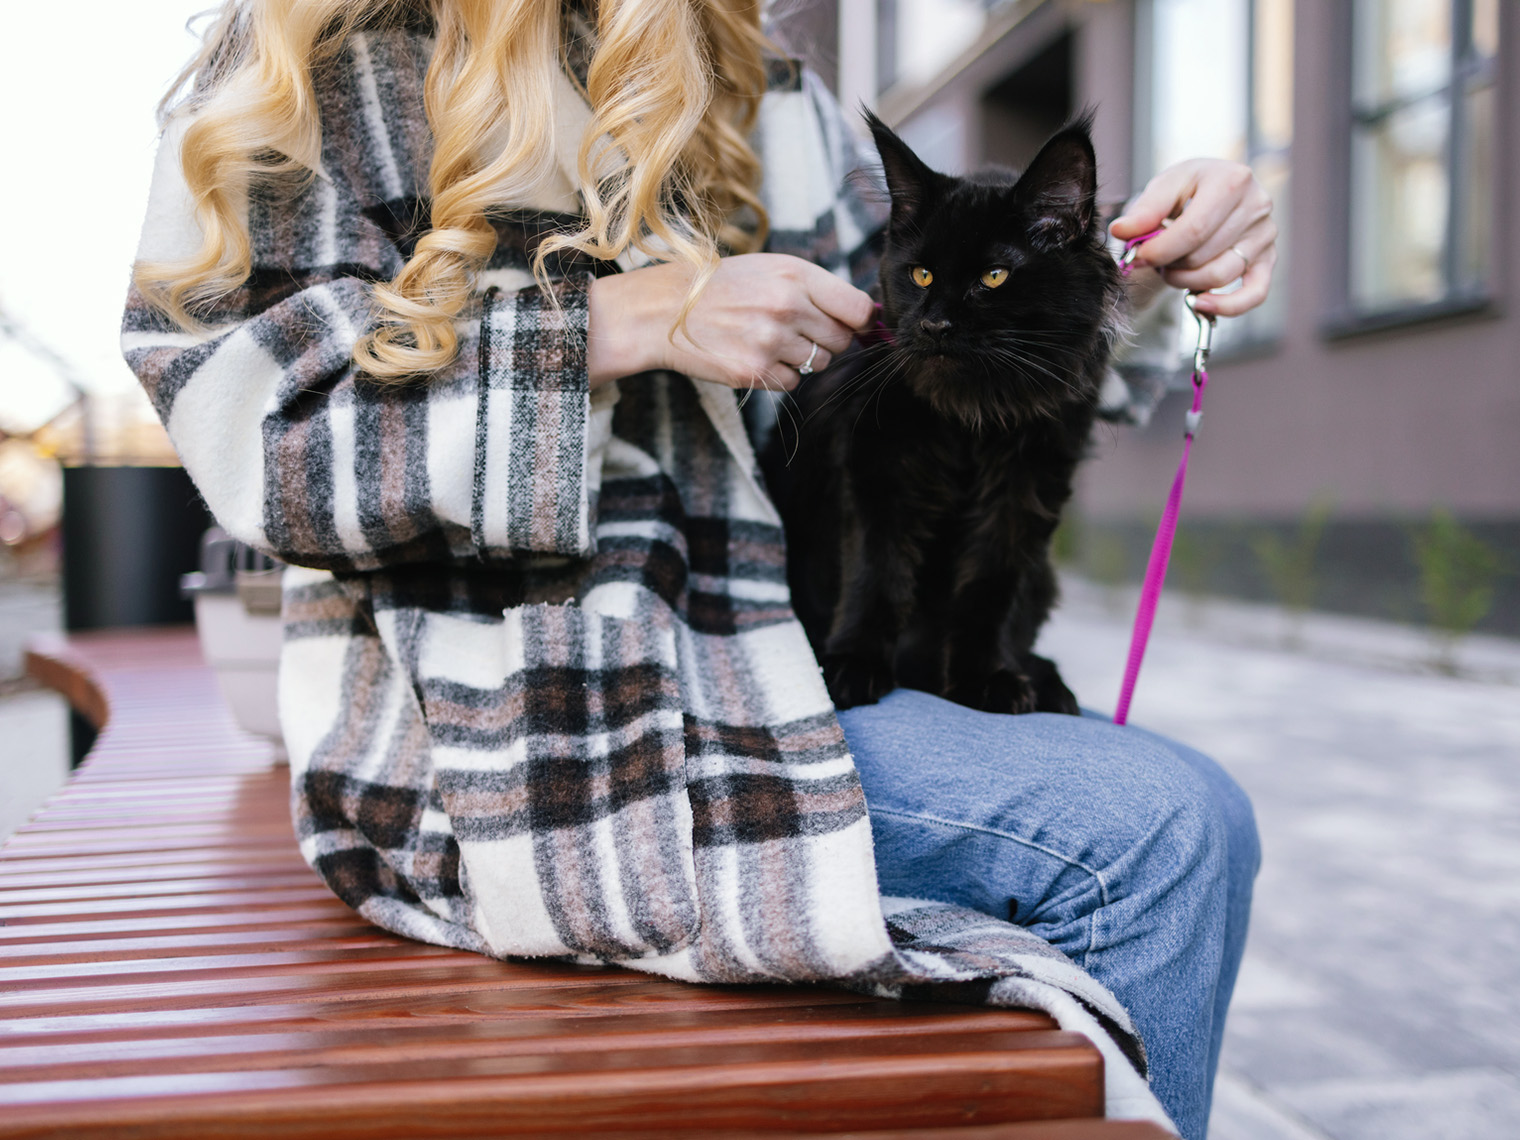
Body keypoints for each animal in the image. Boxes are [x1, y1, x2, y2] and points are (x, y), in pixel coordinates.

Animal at [766, 114, 1124, 714]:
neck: (971, 414)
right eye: (922, 276)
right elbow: (876, 573)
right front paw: (853, 664)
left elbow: (988, 592)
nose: (934, 325)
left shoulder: (1024, 493)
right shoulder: (879, 470)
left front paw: (986, 677)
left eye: (995, 277)